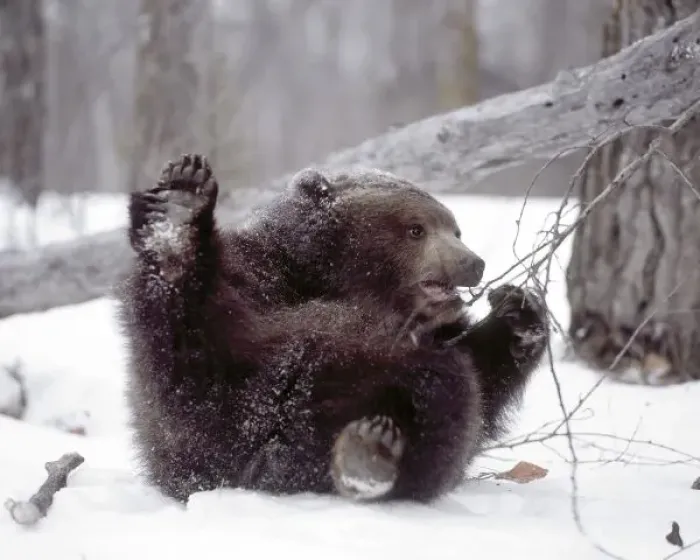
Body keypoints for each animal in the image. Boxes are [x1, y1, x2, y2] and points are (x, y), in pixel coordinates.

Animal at [116, 153, 549, 503]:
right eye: (415, 228)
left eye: (455, 229)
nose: (473, 263)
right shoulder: (255, 279)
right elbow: (187, 366)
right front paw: (178, 209)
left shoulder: (438, 330)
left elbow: (483, 377)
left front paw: (519, 315)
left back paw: (369, 452)